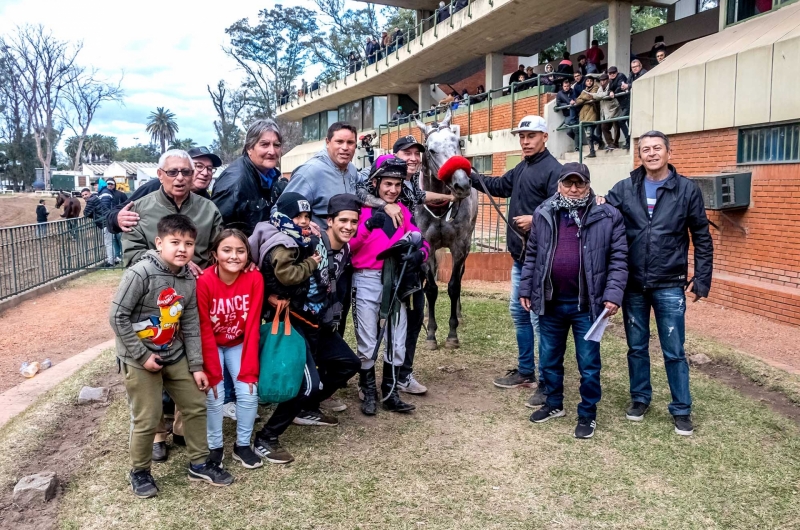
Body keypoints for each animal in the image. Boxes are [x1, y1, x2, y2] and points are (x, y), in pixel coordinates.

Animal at [416, 109, 478, 348]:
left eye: (457, 143)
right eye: (431, 150)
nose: (462, 184)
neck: (439, 205)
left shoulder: (460, 246)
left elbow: (453, 286)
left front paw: (452, 334)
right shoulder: (428, 246)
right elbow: (431, 288)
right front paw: (431, 334)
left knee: (459, 276)